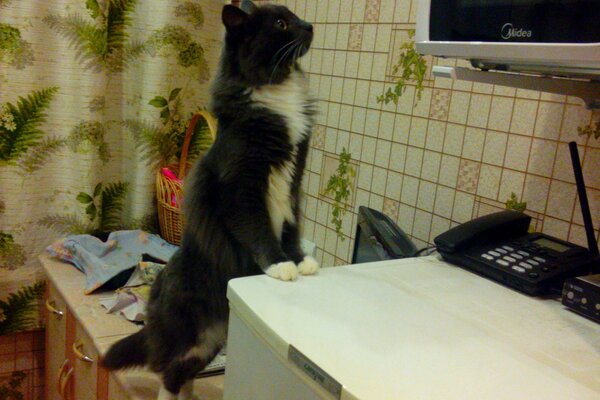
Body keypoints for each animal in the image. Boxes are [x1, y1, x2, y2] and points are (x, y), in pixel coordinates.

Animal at [102, 1, 318, 398]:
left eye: (294, 17)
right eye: (282, 24)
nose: (310, 25)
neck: (276, 93)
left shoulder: (293, 184)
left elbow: (290, 229)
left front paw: (299, 259)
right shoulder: (241, 189)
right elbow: (261, 232)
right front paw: (280, 265)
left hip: (210, 342)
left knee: (180, 373)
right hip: (188, 335)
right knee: (164, 370)